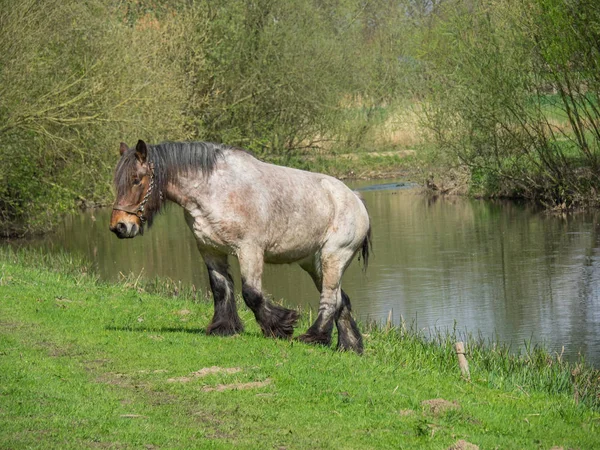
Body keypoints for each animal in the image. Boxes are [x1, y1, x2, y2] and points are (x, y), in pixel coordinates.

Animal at [109, 139, 370, 354]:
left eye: (136, 180)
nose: (119, 226)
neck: (214, 190)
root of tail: (356, 200)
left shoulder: (249, 250)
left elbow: (251, 293)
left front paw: (281, 325)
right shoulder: (210, 250)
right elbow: (220, 288)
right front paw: (223, 327)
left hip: (333, 256)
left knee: (330, 298)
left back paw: (314, 337)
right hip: (313, 263)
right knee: (341, 299)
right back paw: (349, 346)